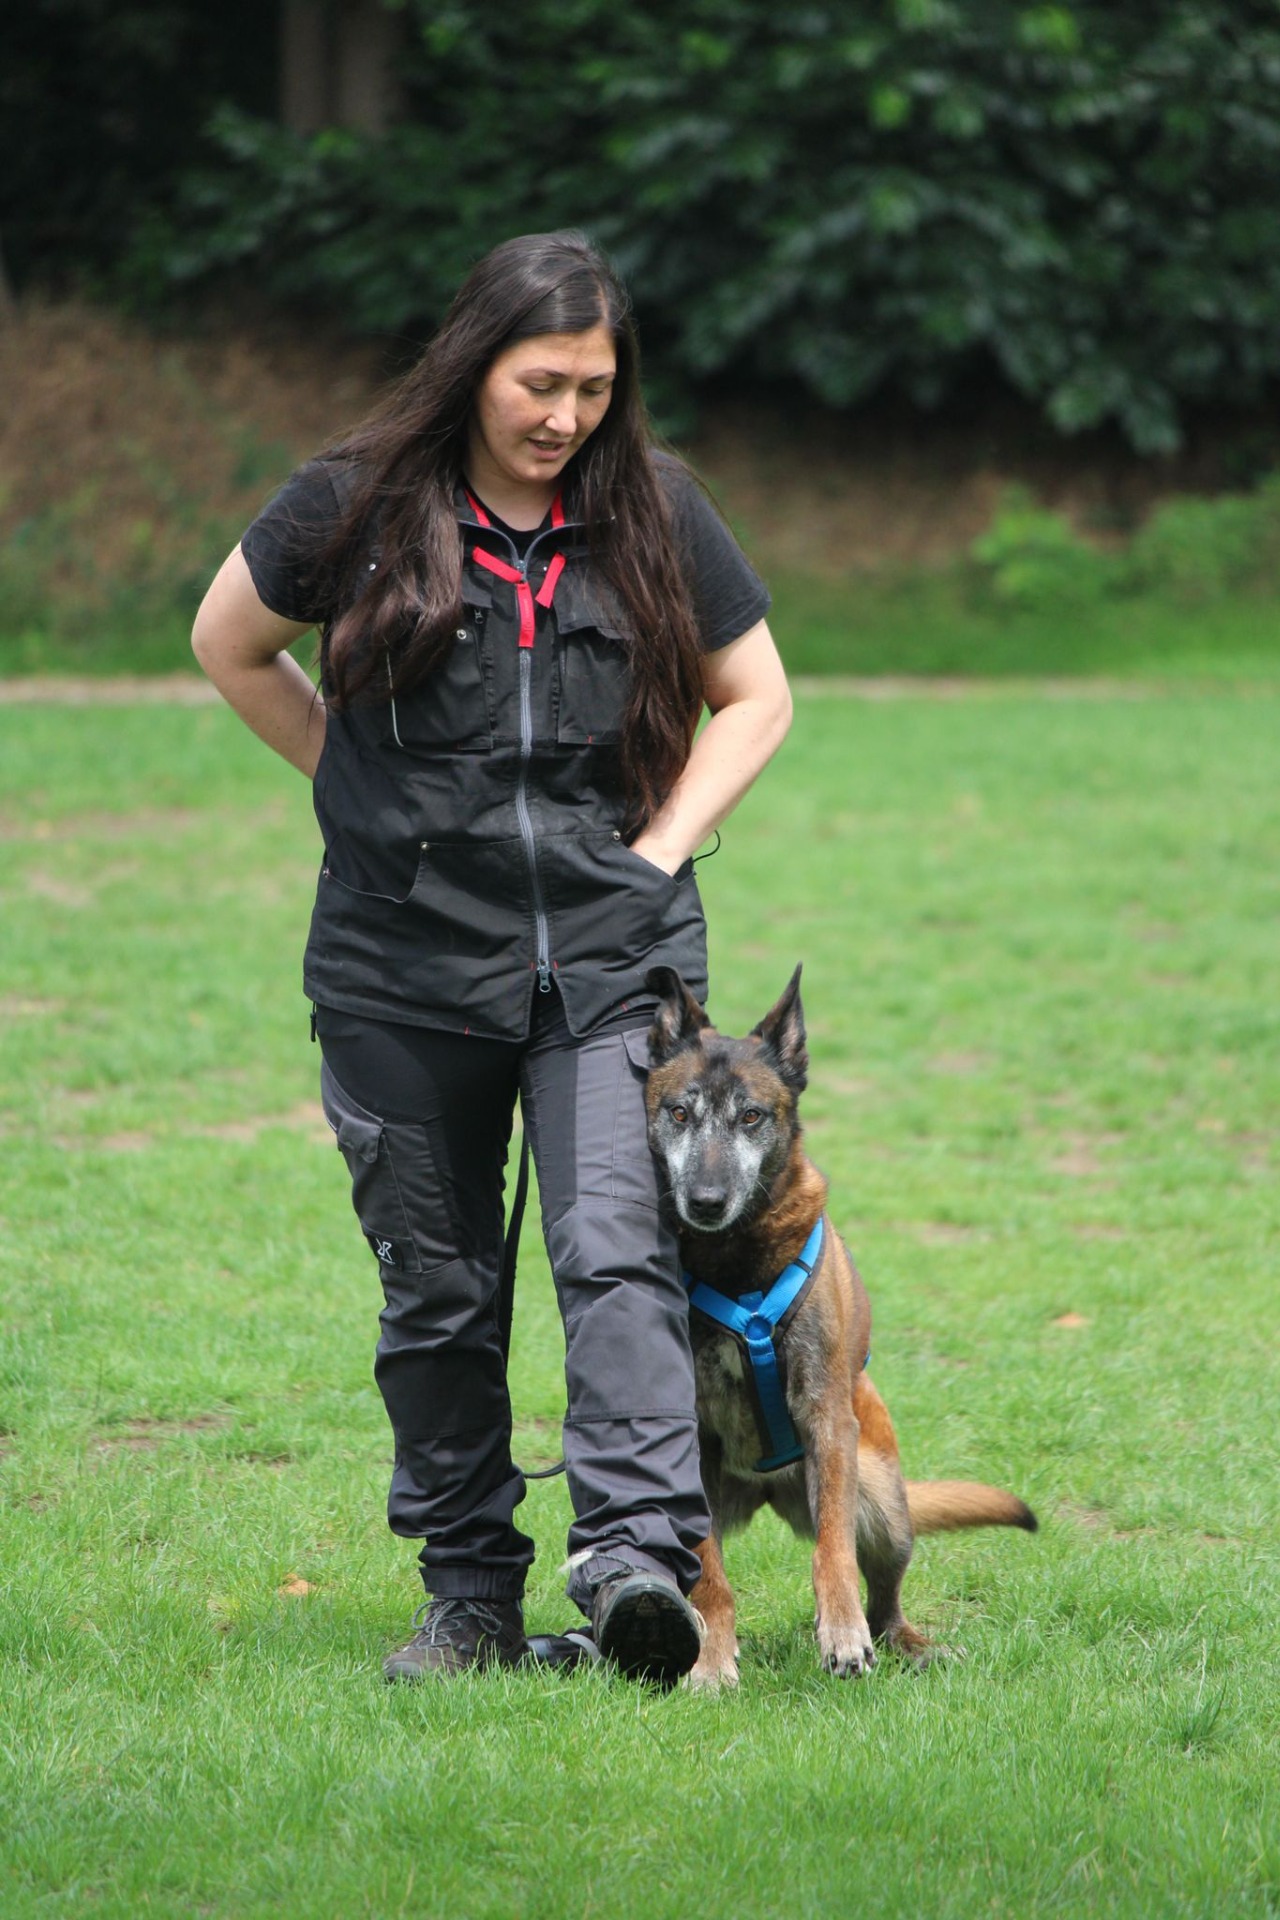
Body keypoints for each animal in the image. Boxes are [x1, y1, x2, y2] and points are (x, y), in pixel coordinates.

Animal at [643, 964, 1037, 1689]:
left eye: (751, 1116)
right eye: (679, 1112)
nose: (705, 1201)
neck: (736, 1260)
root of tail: (767, 1493)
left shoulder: (826, 1416)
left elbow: (833, 1555)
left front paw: (843, 1634)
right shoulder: (692, 1437)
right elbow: (711, 1574)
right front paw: (711, 1659)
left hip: (879, 1500)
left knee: (884, 1596)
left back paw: (906, 1641)